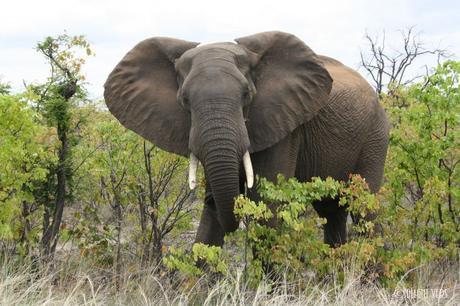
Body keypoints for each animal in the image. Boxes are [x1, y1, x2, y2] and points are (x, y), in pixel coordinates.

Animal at [104, 31, 388, 249]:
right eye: (184, 100)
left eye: (246, 95)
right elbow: (211, 223)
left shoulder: (284, 126)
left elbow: (266, 206)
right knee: (332, 211)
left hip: (375, 136)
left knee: (364, 208)